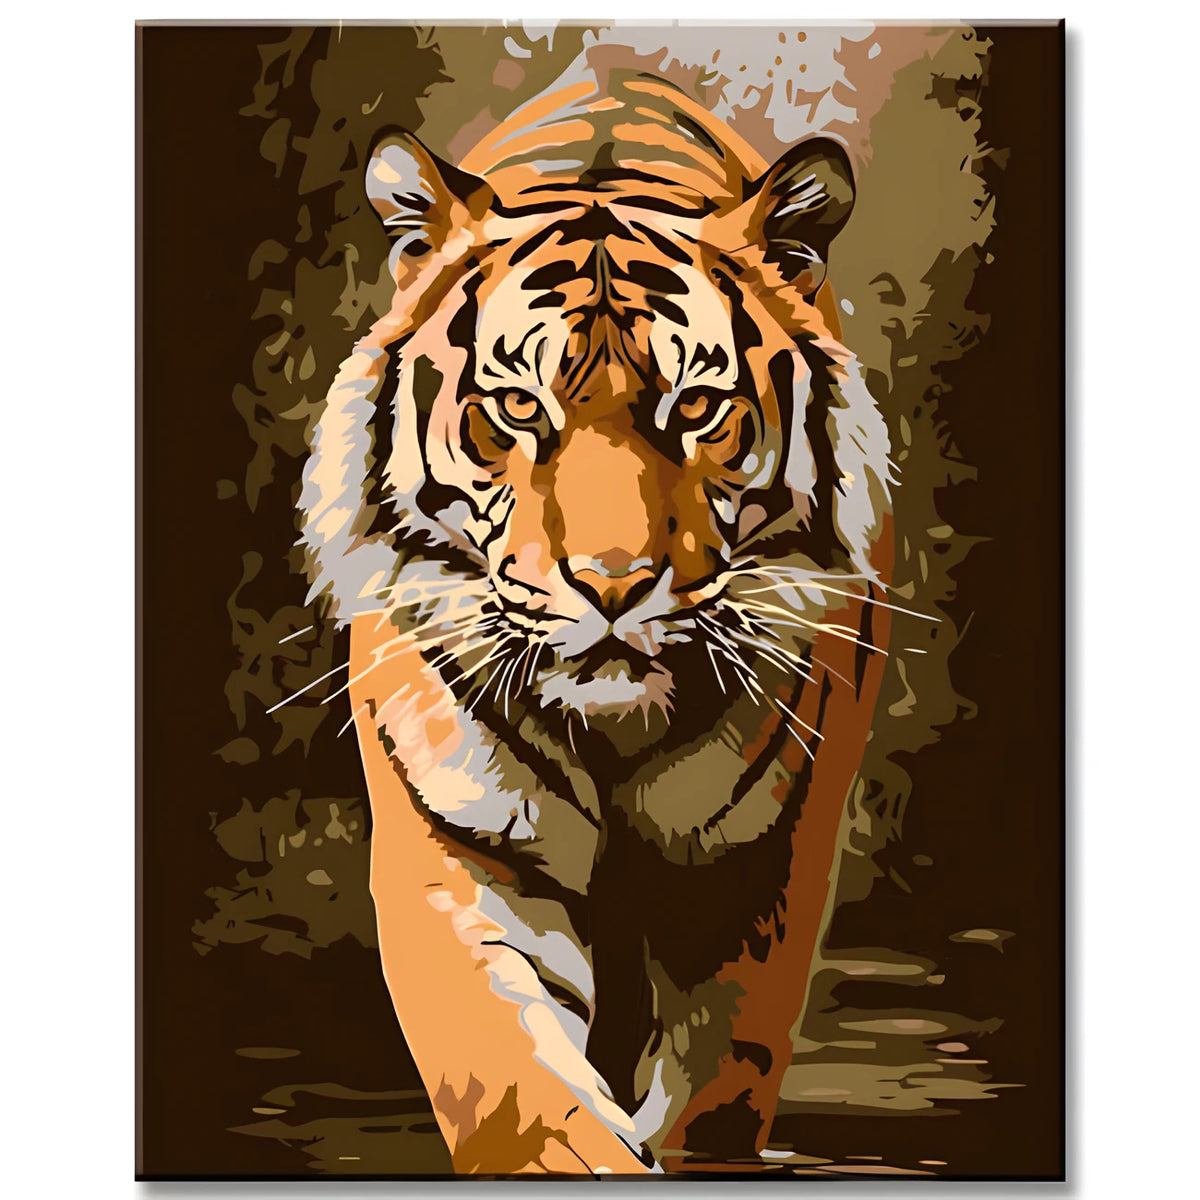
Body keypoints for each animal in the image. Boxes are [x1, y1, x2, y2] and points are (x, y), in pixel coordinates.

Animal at [298, 49, 894, 1175]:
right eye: (517, 408)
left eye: (695, 409)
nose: (614, 586)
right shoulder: (456, 850)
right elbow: (520, 1087)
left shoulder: (755, 872)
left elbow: (716, 1081)